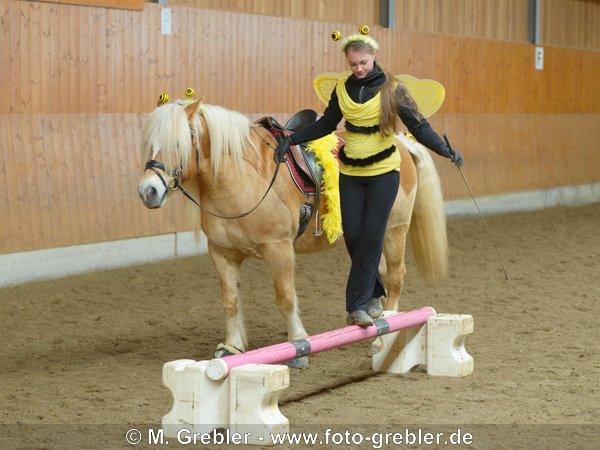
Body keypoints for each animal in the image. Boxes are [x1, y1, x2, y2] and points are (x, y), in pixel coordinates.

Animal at [136, 97, 446, 362]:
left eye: (178, 143)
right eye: (148, 143)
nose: (148, 191)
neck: (242, 177)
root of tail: (402, 142)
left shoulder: (279, 248)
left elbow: (285, 297)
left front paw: (298, 346)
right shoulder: (222, 253)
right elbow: (230, 300)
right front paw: (232, 346)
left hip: (395, 228)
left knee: (395, 276)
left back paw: (386, 332)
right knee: (375, 268)